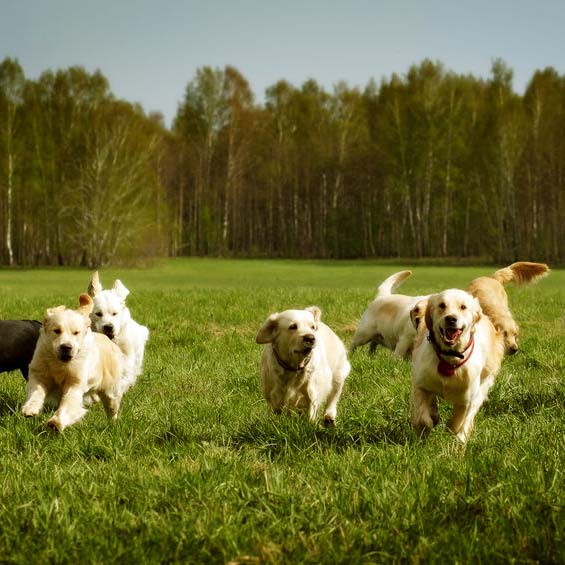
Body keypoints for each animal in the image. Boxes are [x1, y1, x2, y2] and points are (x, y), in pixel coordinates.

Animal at [22, 294, 124, 430]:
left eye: (76, 333)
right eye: (57, 330)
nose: (66, 347)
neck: (59, 364)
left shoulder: (75, 382)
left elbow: (68, 402)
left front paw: (56, 422)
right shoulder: (39, 372)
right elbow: (36, 391)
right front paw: (30, 409)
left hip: (110, 389)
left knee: (112, 406)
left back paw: (113, 423)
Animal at [408, 288, 504, 442]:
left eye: (463, 307)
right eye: (442, 305)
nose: (451, 318)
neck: (450, 359)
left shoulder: (465, 400)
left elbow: (456, 423)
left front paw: (455, 439)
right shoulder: (420, 384)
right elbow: (422, 416)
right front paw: (428, 424)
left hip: (483, 385)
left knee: (469, 416)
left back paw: (461, 439)